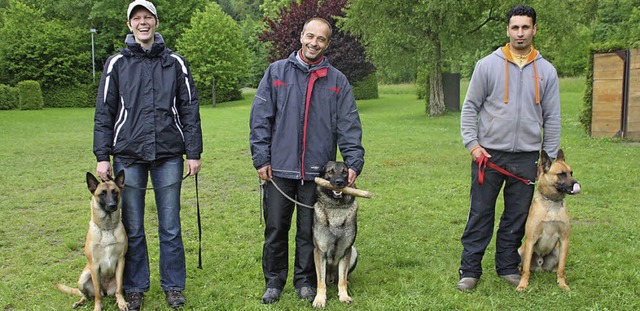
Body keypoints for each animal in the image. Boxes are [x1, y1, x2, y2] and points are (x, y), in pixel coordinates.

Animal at [516, 151, 576, 292]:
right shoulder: (531, 240)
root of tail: (540, 265)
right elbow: (526, 269)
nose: (577, 184)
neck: (552, 203)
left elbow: (562, 268)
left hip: (558, 250)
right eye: (561, 174)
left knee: (557, 268)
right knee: (523, 267)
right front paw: (523, 284)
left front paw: (562, 284)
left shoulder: (564, 240)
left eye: (571, 173)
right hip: (521, 251)